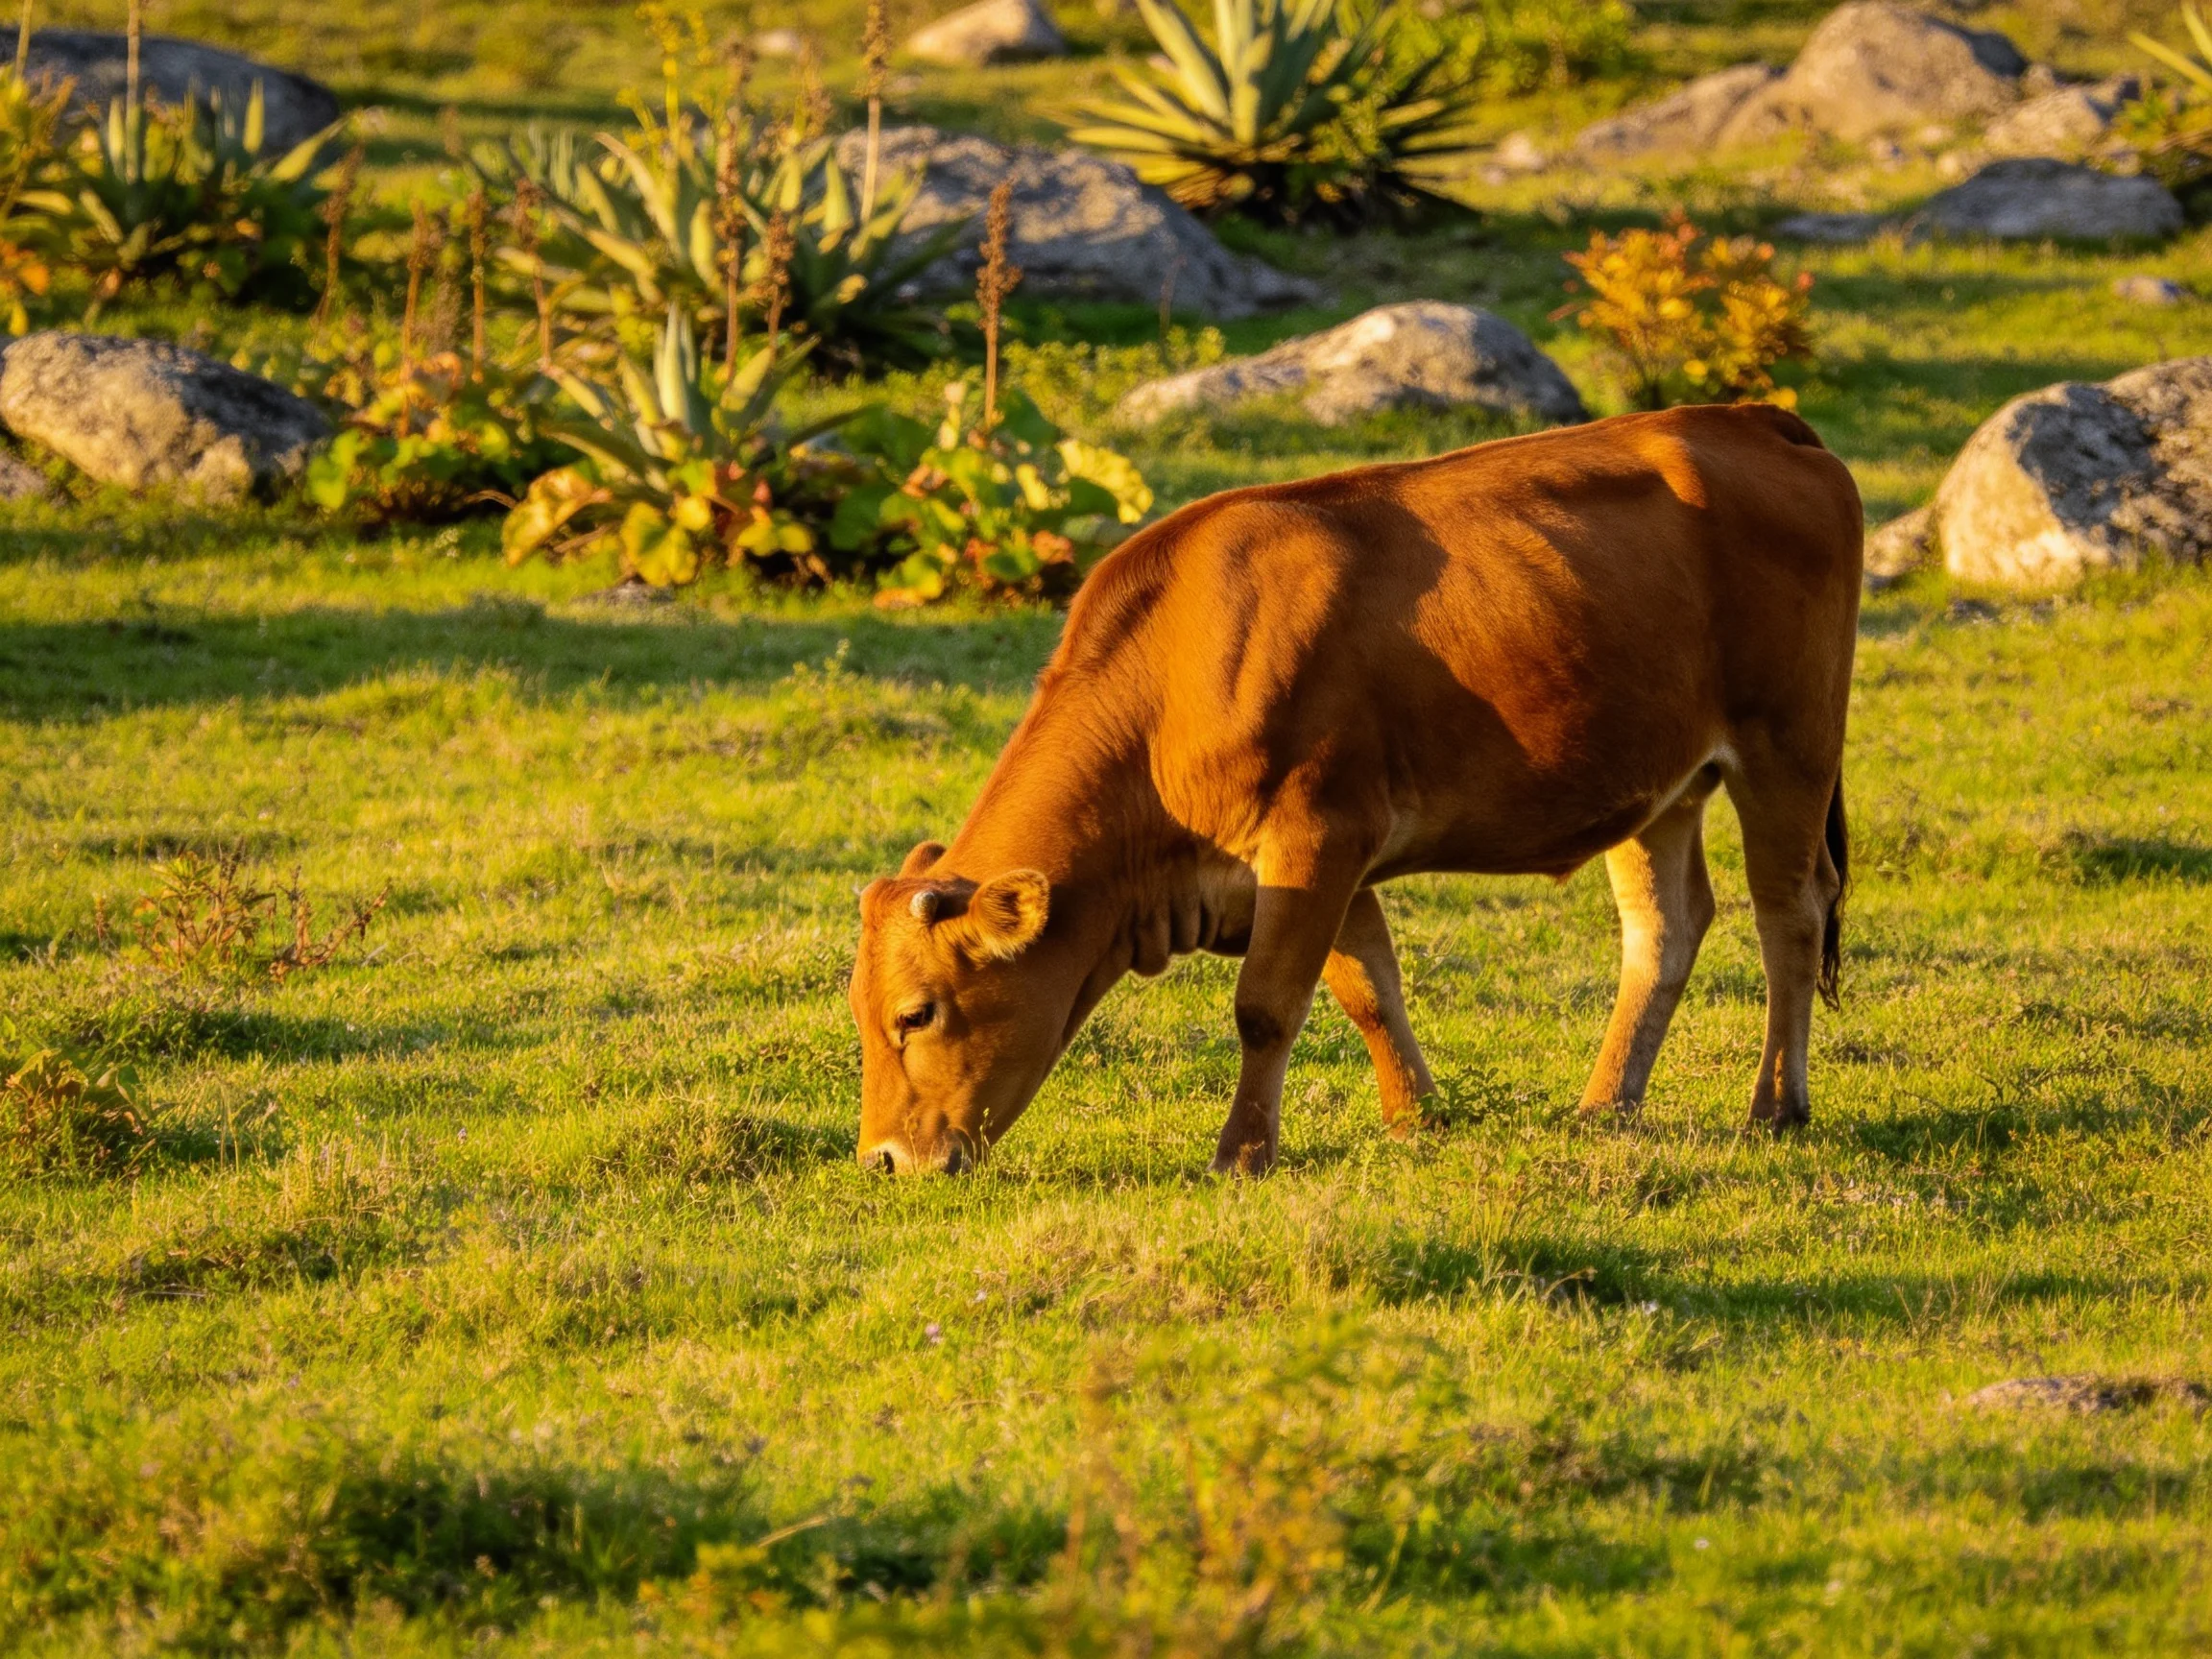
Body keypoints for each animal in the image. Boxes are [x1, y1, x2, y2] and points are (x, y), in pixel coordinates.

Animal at [849, 402, 1862, 1175]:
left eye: (916, 1014)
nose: (884, 1160)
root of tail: (1751, 418)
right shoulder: (1315, 863)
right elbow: (1366, 984)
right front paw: (1416, 1116)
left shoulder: (1318, 834)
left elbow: (1266, 1007)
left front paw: (1241, 1155)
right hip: (1659, 783)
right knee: (1666, 928)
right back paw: (1607, 1105)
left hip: (1789, 746)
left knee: (1791, 912)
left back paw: (1774, 1106)